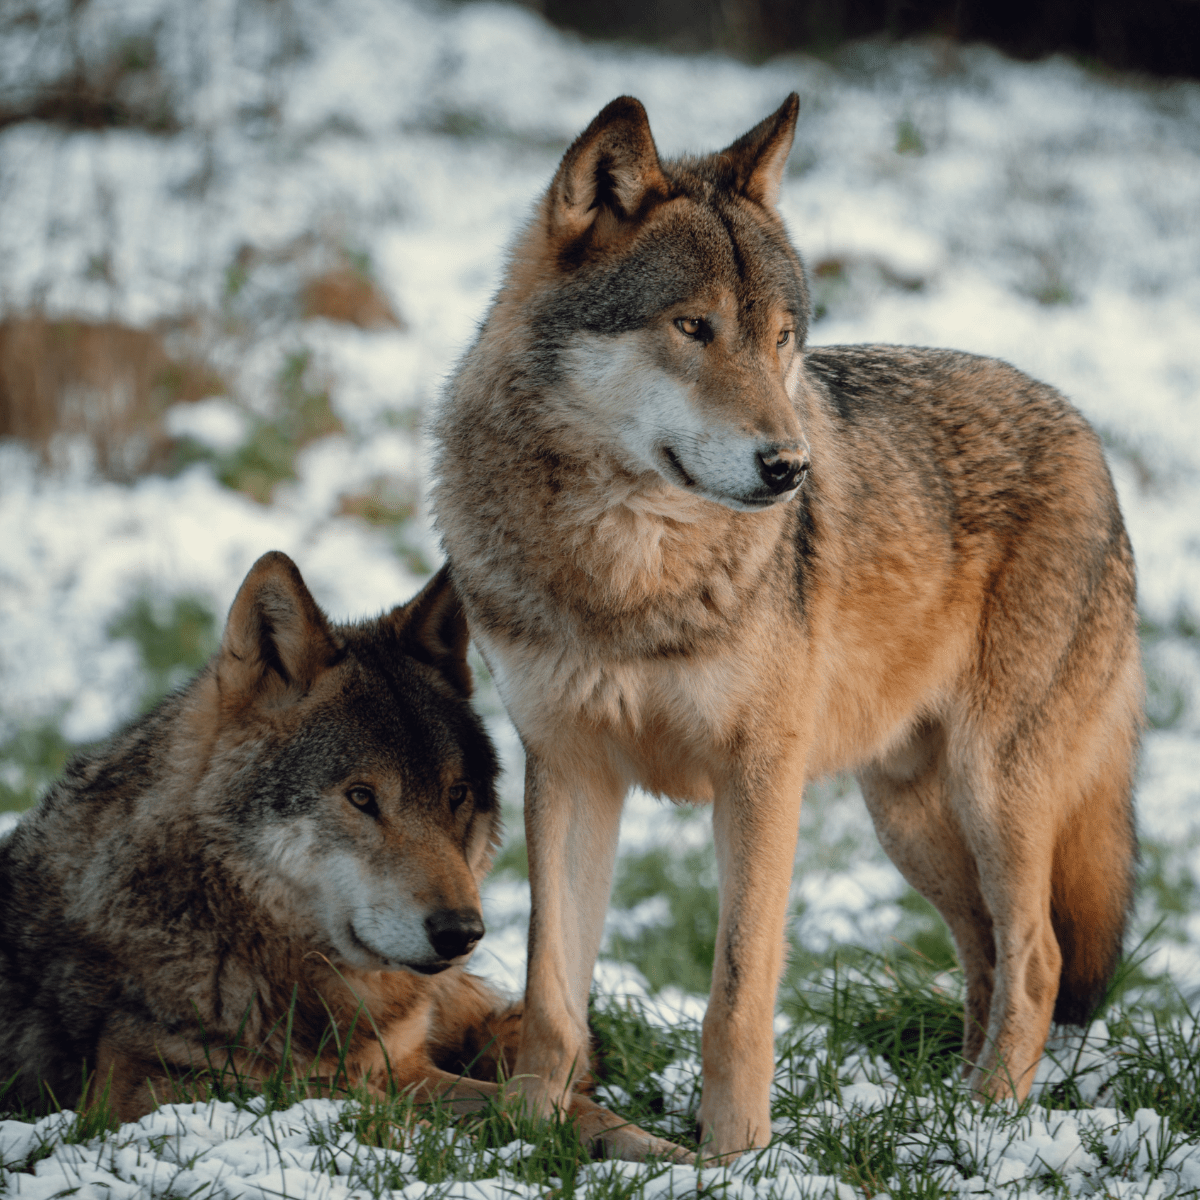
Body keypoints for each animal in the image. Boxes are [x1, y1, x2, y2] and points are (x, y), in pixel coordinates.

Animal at [0, 551, 683, 1161]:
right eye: (361, 797)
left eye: (456, 794)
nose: (462, 932)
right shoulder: (151, 1089)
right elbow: (370, 1106)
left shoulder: (402, 1063)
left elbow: (568, 1110)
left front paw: (686, 1158)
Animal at [431, 94, 1142, 1159]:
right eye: (694, 327)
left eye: (781, 337)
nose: (790, 468)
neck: (627, 567)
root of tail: (1087, 434)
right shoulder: (570, 769)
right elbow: (551, 993)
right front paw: (532, 1139)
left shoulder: (759, 774)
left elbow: (736, 998)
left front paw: (734, 1158)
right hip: (910, 819)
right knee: (986, 950)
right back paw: (951, 1108)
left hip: (993, 792)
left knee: (1041, 957)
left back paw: (988, 1123)